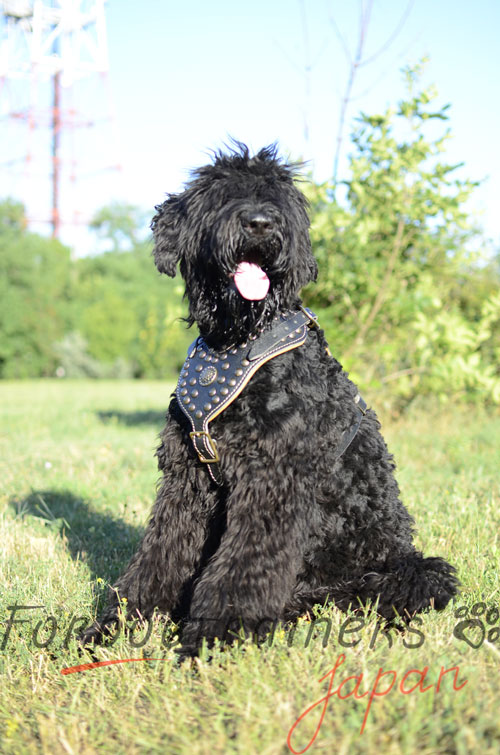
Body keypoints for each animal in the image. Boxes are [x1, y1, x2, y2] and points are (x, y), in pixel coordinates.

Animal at [82, 145, 458, 652]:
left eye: (280, 198)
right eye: (222, 193)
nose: (260, 223)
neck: (233, 343)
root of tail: (398, 554)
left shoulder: (272, 478)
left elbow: (243, 567)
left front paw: (212, 638)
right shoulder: (186, 480)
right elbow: (158, 557)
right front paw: (113, 627)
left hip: (392, 568)